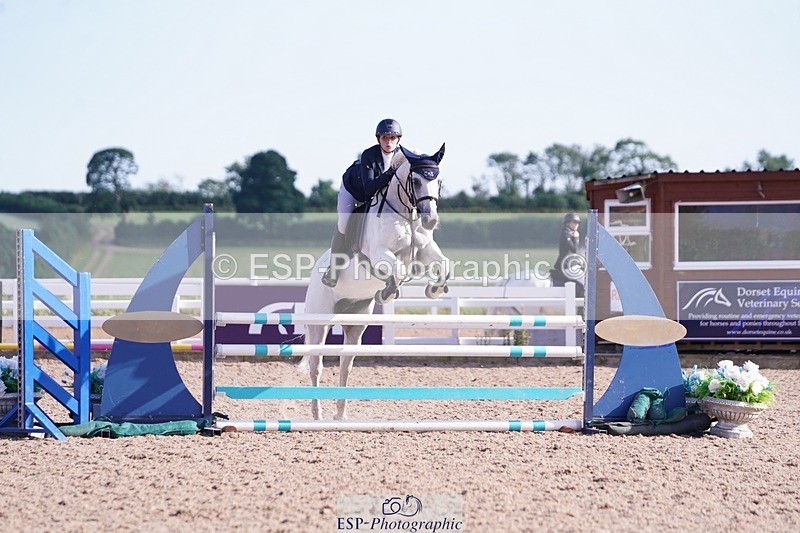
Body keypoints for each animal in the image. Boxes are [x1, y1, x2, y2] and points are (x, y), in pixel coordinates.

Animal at [297, 144, 450, 420]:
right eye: (416, 181)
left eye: (439, 181)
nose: (430, 220)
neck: (405, 215)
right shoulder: (379, 254)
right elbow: (397, 270)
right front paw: (388, 292)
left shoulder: (424, 250)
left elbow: (443, 264)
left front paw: (434, 289)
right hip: (319, 323)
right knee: (316, 366)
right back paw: (318, 414)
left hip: (355, 325)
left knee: (345, 365)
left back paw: (340, 414)